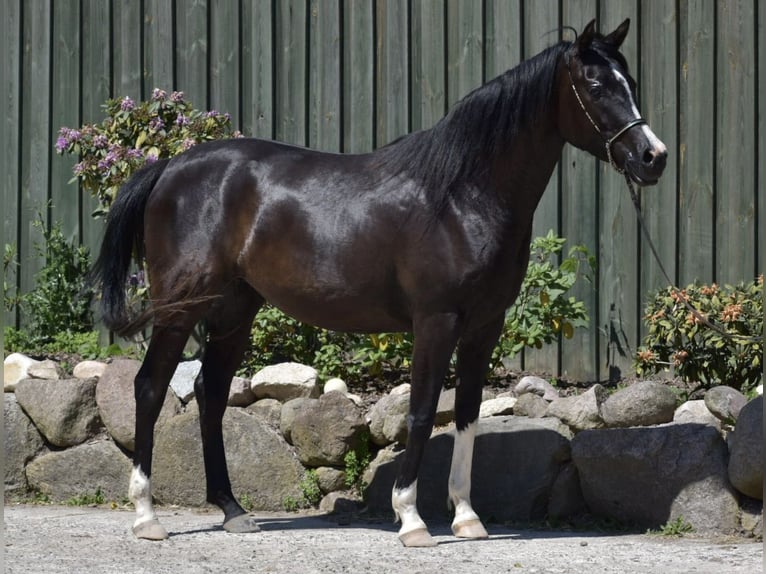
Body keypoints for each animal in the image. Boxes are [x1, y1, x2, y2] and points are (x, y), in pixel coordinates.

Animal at [91, 18, 666, 547]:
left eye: (632, 80)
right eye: (595, 85)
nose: (652, 158)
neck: (463, 196)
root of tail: (169, 168)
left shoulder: (485, 324)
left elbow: (466, 413)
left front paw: (467, 518)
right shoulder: (436, 321)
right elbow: (421, 411)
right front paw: (411, 520)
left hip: (235, 310)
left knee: (210, 394)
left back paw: (233, 510)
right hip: (179, 308)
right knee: (150, 387)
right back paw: (147, 517)